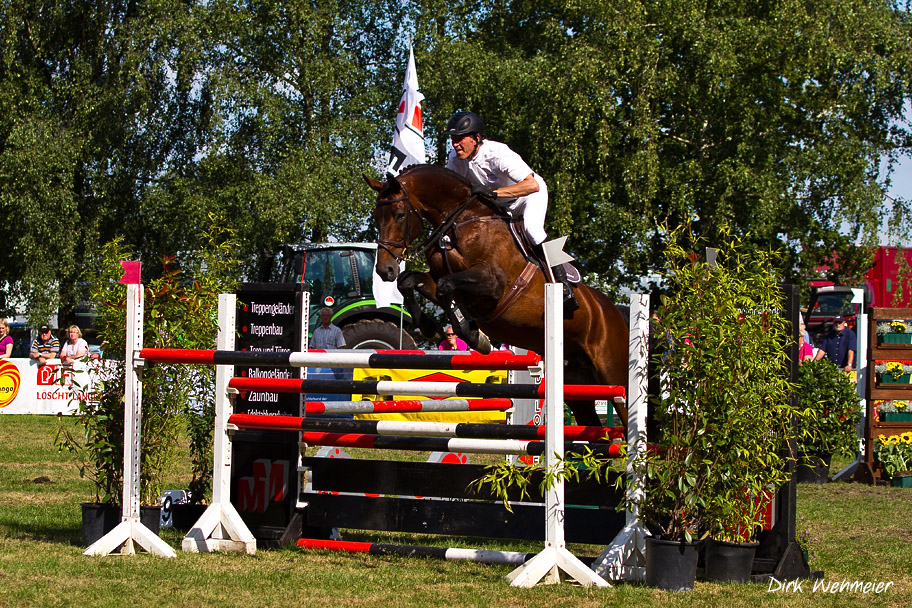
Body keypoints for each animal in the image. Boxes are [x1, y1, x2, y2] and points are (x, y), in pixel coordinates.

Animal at [364, 164, 628, 426]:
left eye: (399, 214)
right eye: (375, 216)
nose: (385, 270)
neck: (461, 224)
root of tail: (615, 312)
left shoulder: (493, 285)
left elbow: (445, 287)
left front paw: (473, 336)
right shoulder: (447, 282)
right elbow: (410, 282)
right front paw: (430, 327)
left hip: (613, 373)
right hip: (575, 381)